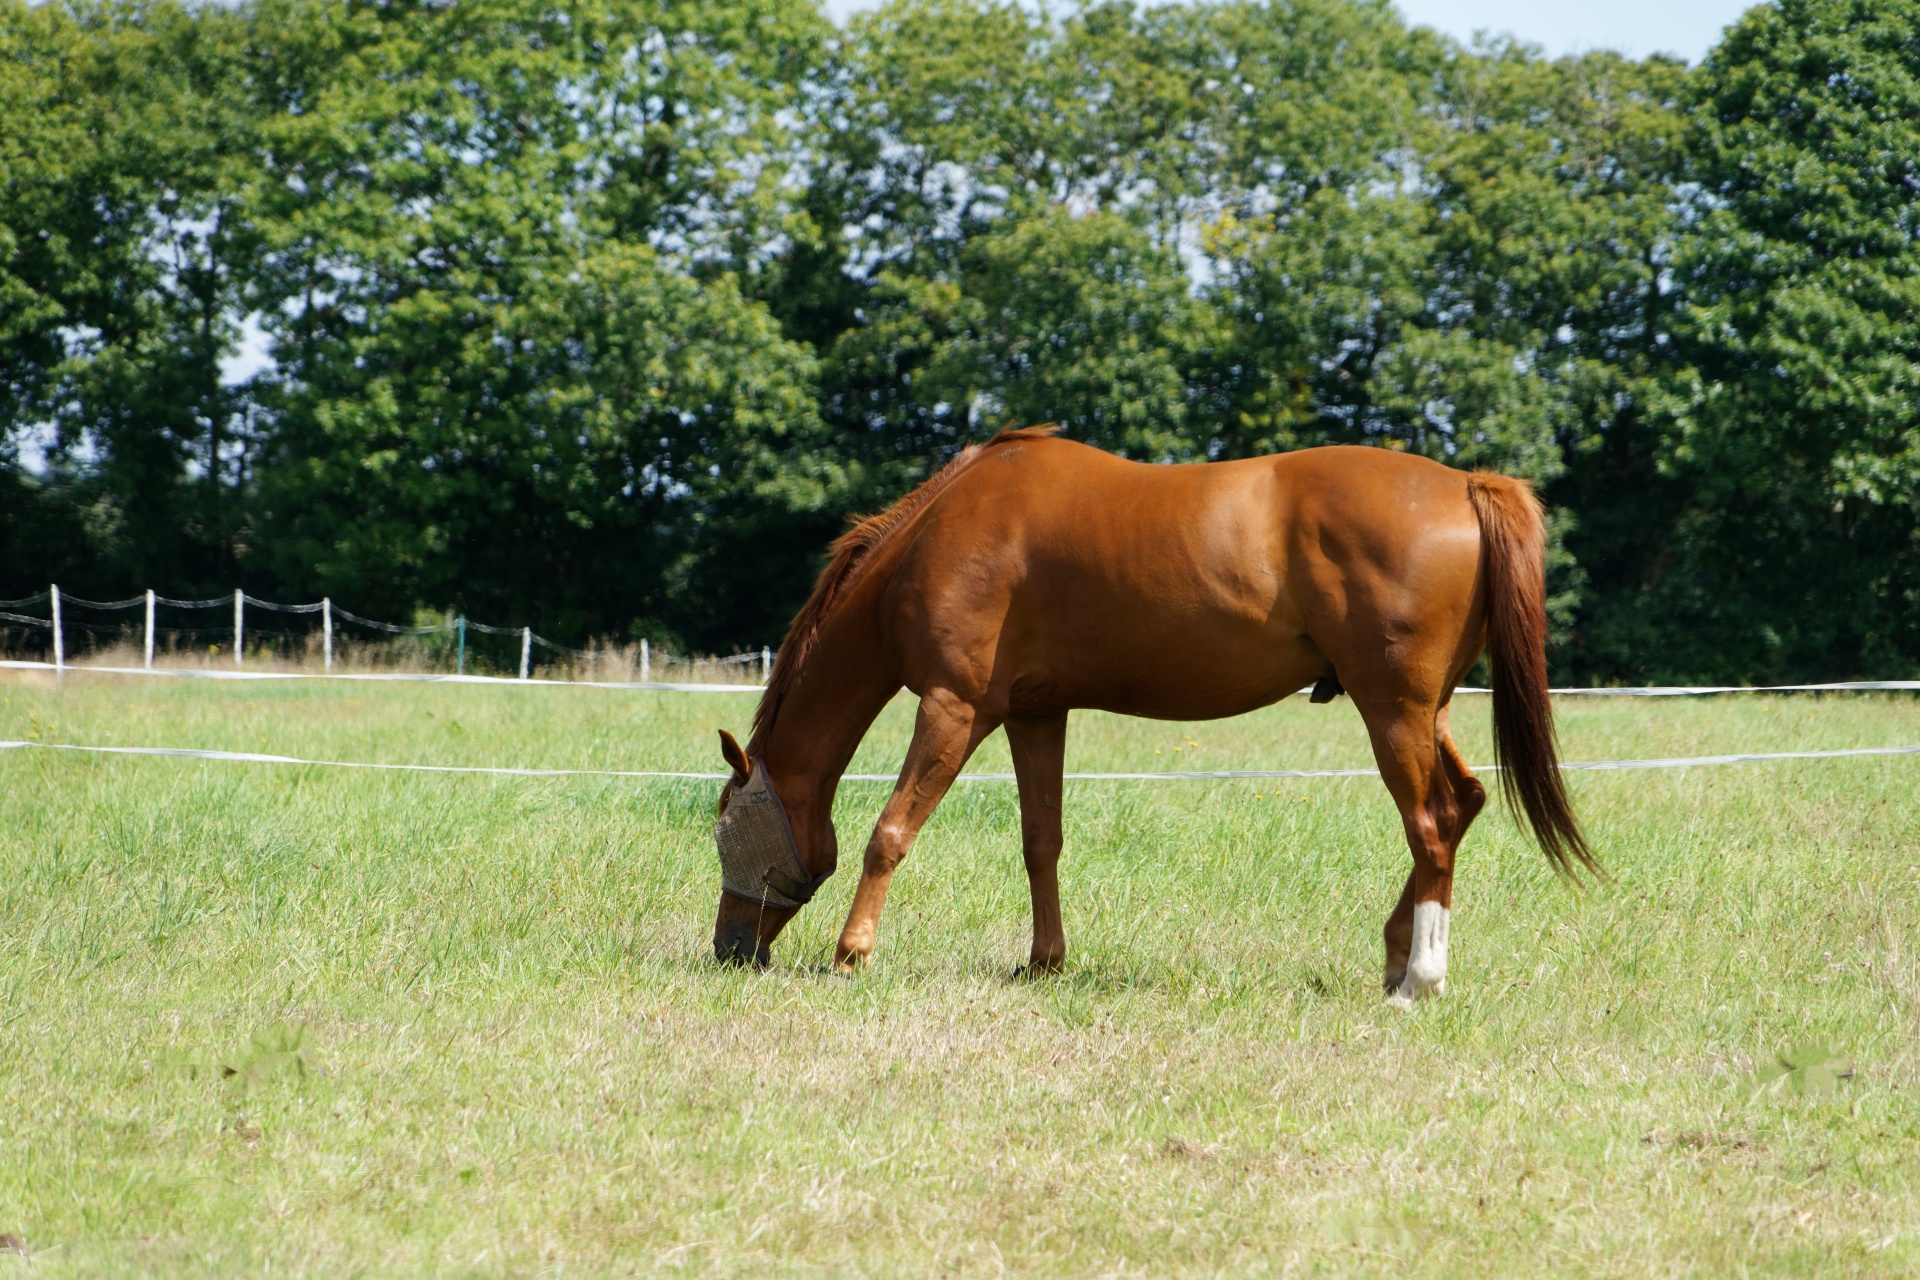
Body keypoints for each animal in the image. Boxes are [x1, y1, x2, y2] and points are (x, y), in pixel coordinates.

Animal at [710, 426, 1589, 1005]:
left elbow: (890, 831)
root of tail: (1467, 485)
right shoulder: (1036, 714)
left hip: (1393, 710)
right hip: (1426, 710)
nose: (729, 951)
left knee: (1431, 823)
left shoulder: (952, 708)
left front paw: (851, 955)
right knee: (1464, 803)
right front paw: (1044, 962)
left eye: (723, 834)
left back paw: (1419, 980)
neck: (940, 530)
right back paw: (1395, 955)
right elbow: (1041, 843)